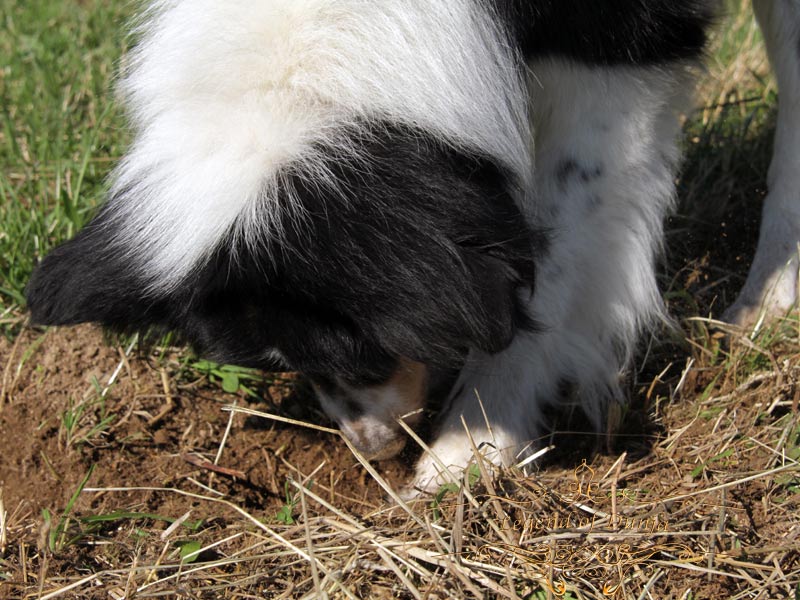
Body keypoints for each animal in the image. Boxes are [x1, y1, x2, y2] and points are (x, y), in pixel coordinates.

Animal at [25, 1, 800, 492]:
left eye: (358, 351)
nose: (375, 452)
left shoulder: (618, 43)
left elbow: (569, 235)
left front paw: (471, 449)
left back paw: (767, 304)